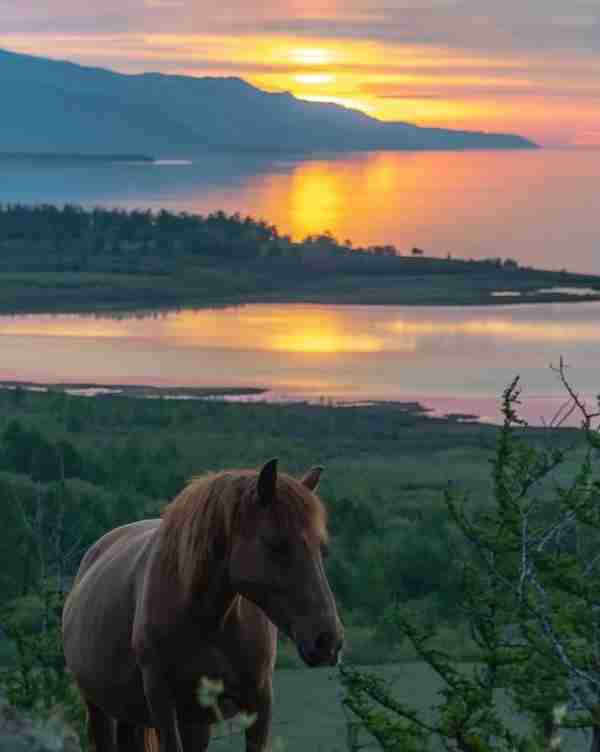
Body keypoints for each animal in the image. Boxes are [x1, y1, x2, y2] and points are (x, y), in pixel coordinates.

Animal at [62, 458, 342, 752]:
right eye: (276, 544)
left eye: (321, 548)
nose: (328, 641)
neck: (208, 621)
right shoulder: (162, 702)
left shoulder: (258, 701)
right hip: (100, 710)